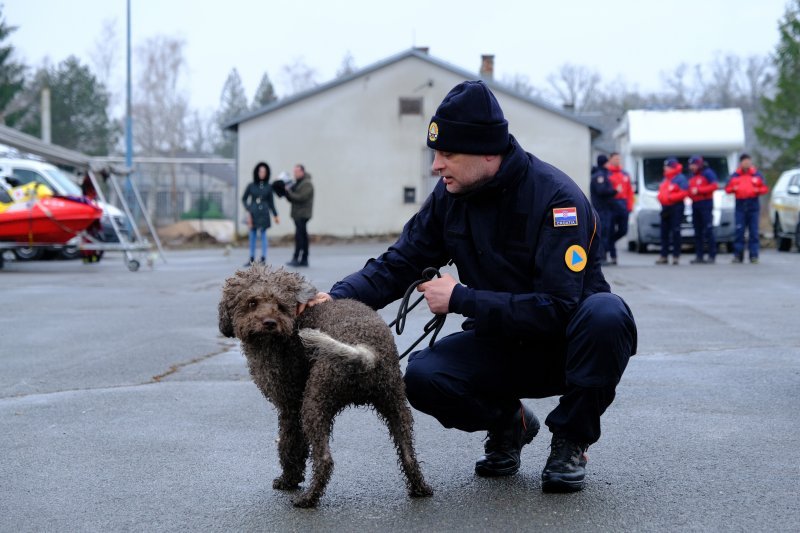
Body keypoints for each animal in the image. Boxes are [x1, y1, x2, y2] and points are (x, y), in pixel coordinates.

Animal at [217, 266, 432, 508]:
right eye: (252, 302)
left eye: (280, 305)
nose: (270, 323)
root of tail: (366, 351)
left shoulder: (290, 407)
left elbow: (289, 445)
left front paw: (288, 480)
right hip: (395, 405)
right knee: (408, 455)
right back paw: (419, 488)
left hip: (315, 404)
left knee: (324, 460)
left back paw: (308, 498)